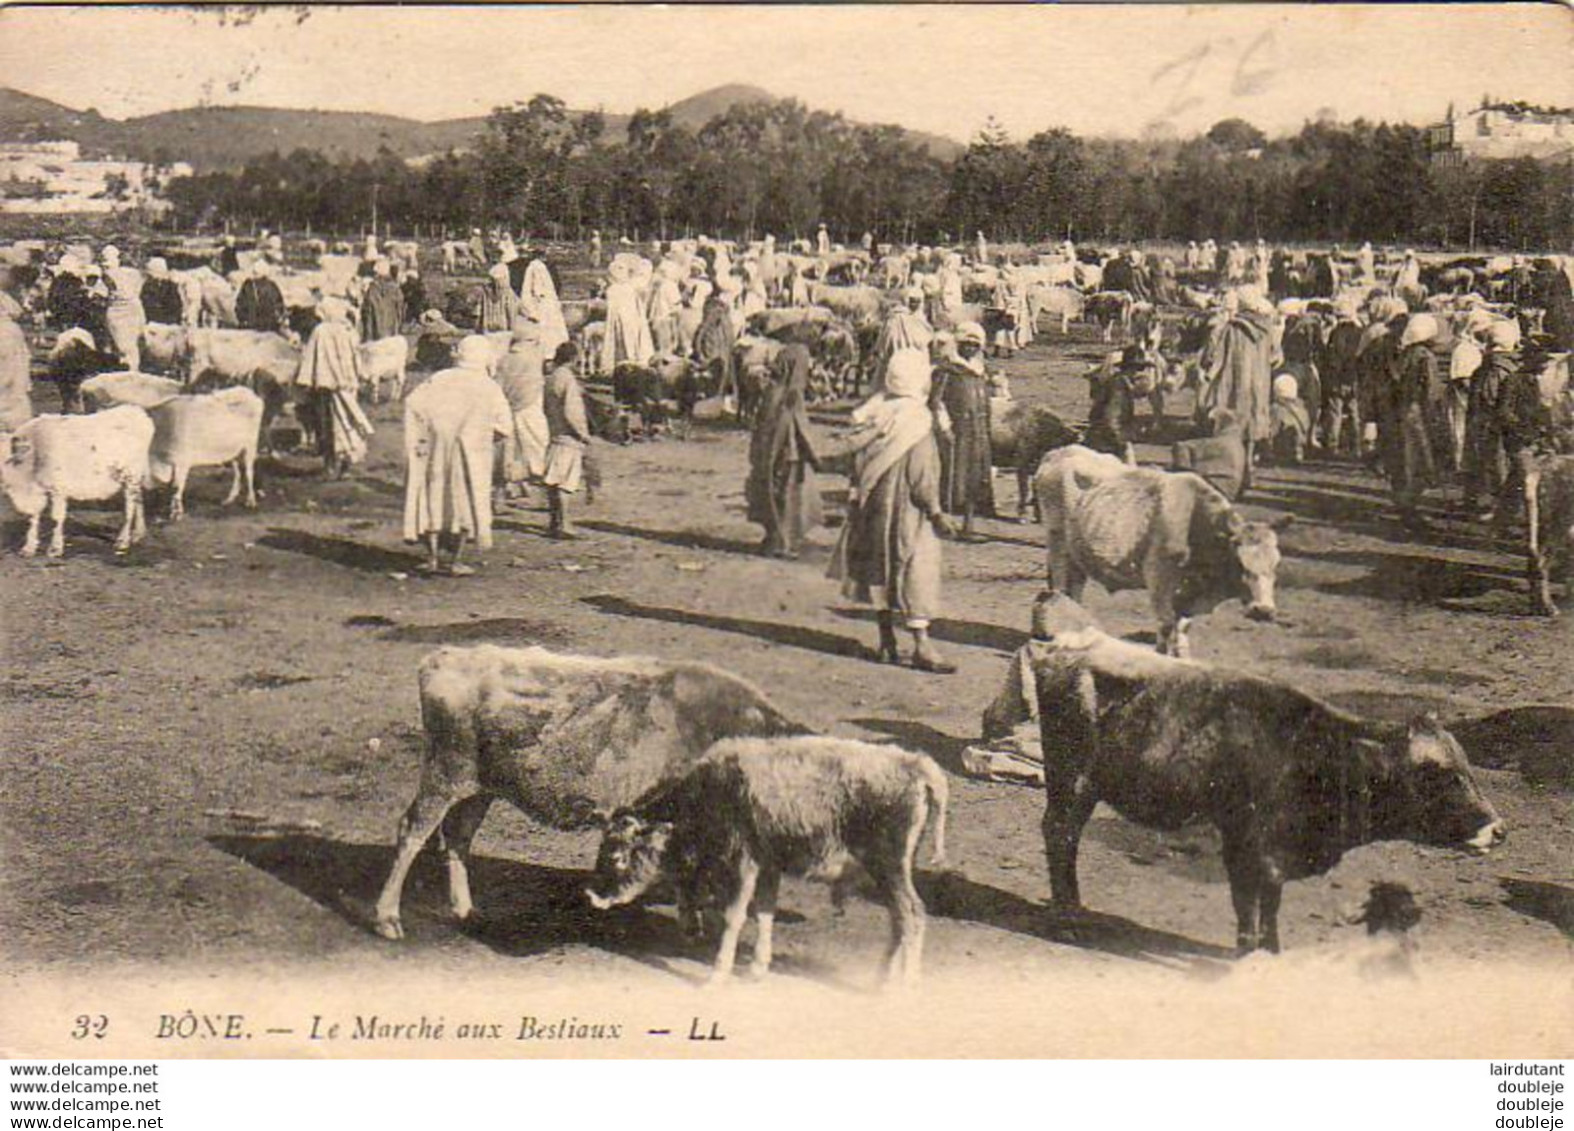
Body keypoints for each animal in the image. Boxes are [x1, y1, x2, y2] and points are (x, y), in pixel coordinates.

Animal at [0, 405, 153, 556]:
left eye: (6, 459)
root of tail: (136, 410)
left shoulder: (58, 489)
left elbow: (56, 517)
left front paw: (55, 548)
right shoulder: (38, 492)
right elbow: (33, 517)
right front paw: (29, 547)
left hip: (131, 475)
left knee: (130, 507)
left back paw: (123, 540)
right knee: (139, 499)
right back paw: (139, 533)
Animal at [374, 644, 805, 943]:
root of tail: (443, 658)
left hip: (478, 788)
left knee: (457, 838)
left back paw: (465, 911)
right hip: (444, 771)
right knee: (411, 831)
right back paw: (388, 919)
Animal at [582, 739, 938, 987]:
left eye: (617, 857)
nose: (594, 897)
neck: (712, 791)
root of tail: (916, 764)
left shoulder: (743, 863)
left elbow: (734, 917)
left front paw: (717, 976)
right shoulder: (768, 865)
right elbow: (765, 912)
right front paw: (757, 968)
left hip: (888, 866)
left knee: (912, 915)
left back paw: (904, 986)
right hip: (889, 873)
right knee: (899, 920)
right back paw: (882, 979)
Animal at [1026, 619, 1504, 956]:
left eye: (1468, 768)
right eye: (1442, 775)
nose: (1499, 829)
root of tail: (1065, 644)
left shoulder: (1274, 852)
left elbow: (1270, 901)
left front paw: (1271, 951)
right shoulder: (1244, 840)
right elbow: (1247, 902)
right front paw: (1247, 952)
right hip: (1072, 779)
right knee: (1060, 834)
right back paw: (1067, 920)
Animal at [1032, 443, 1290, 654]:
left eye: (1276, 564)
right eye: (1240, 562)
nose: (1263, 610)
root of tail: (1058, 452)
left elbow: (1183, 626)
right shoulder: (1158, 576)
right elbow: (1166, 624)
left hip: (1078, 553)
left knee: (1075, 590)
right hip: (1057, 543)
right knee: (1060, 587)